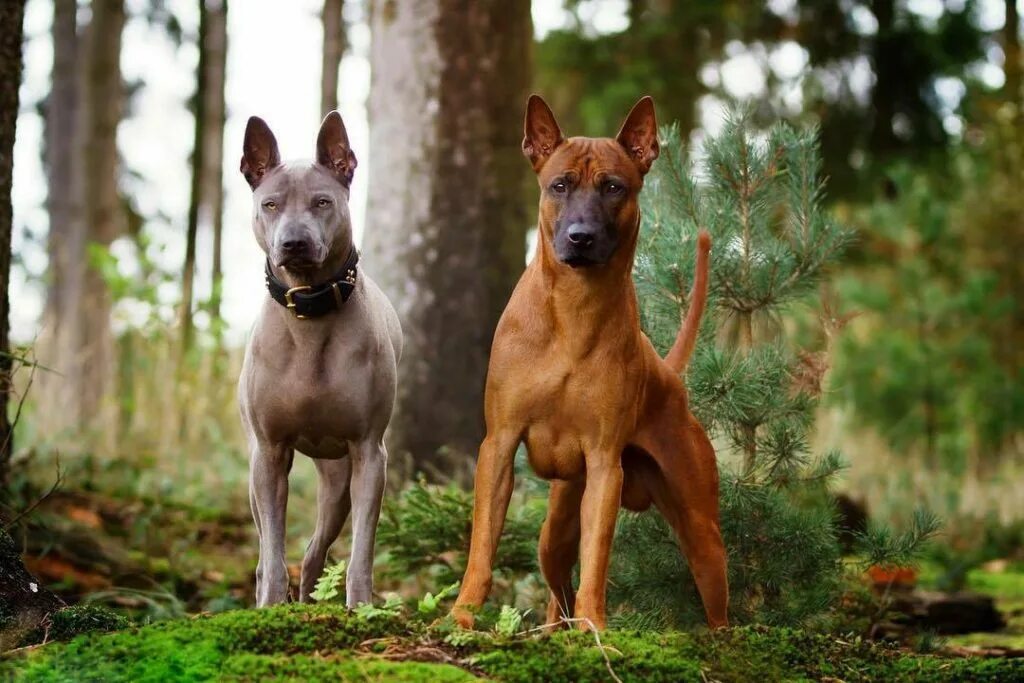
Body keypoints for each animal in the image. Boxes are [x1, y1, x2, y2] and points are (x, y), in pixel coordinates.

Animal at [237, 113, 401, 610]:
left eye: (323, 202)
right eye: (270, 204)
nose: (294, 242)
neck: (310, 311)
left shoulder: (369, 452)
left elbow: (362, 549)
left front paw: (361, 608)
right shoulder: (269, 453)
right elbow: (273, 549)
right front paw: (271, 606)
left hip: (338, 481)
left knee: (314, 553)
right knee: (270, 552)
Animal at [454, 94, 729, 630]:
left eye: (613, 187)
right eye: (559, 185)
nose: (580, 237)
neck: (573, 312)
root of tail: (667, 373)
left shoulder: (604, 466)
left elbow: (598, 558)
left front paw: (594, 629)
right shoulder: (499, 445)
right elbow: (481, 549)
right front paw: (460, 616)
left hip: (701, 531)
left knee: (715, 598)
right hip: (554, 529)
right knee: (554, 584)